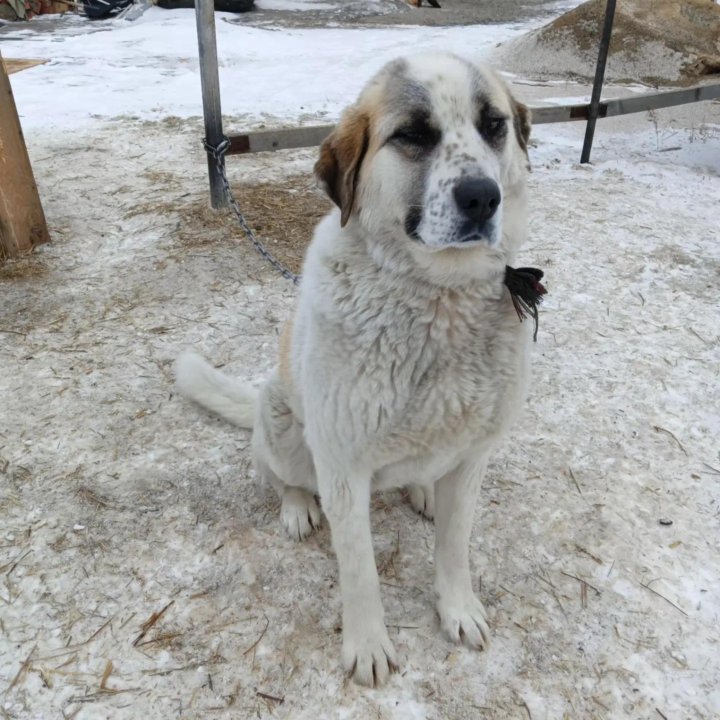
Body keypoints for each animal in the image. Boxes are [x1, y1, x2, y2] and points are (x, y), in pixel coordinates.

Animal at [176, 54, 536, 688]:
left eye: (493, 124)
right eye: (413, 134)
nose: (481, 197)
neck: (438, 301)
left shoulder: (473, 456)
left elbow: (455, 547)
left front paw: (458, 609)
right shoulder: (343, 467)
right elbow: (360, 570)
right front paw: (367, 645)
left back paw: (422, 489)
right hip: (285, 426)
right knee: (279, 475)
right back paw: (298, 507)